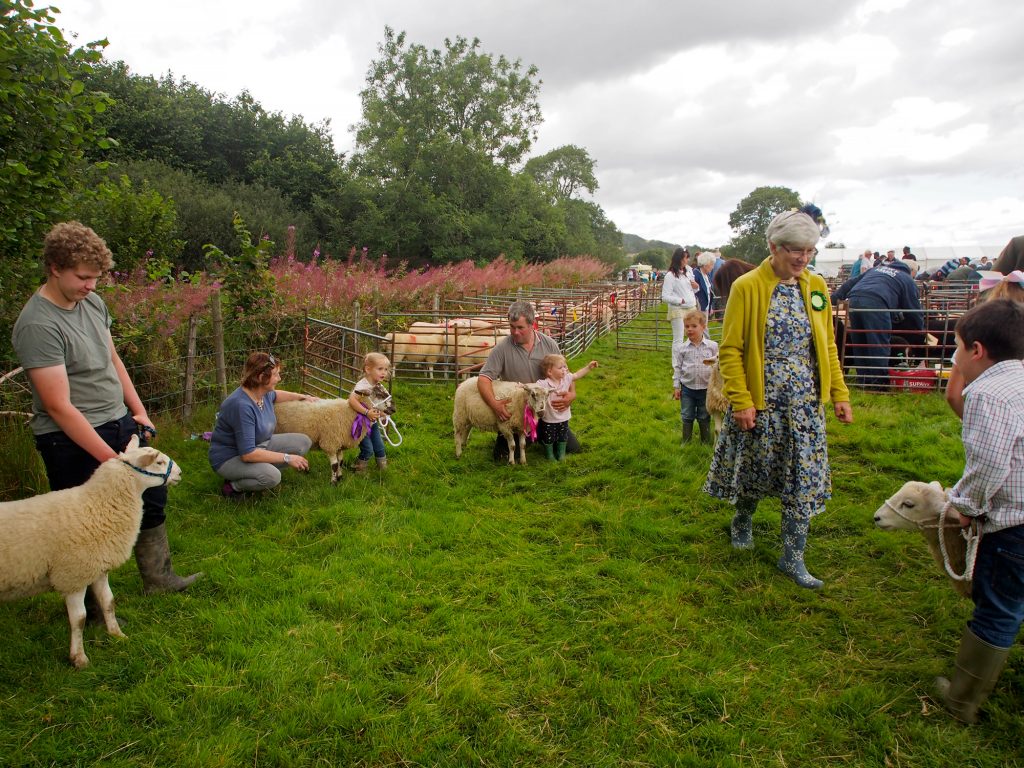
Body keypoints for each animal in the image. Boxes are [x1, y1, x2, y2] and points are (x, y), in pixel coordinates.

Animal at [0, 436, 182, 671]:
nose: (180, 473)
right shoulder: (73, 576)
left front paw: (117, 634)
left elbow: (108, 602)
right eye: (159, 462)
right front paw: (79, 659)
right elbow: (79, 619)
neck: (97, 505)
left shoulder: (98, 568)